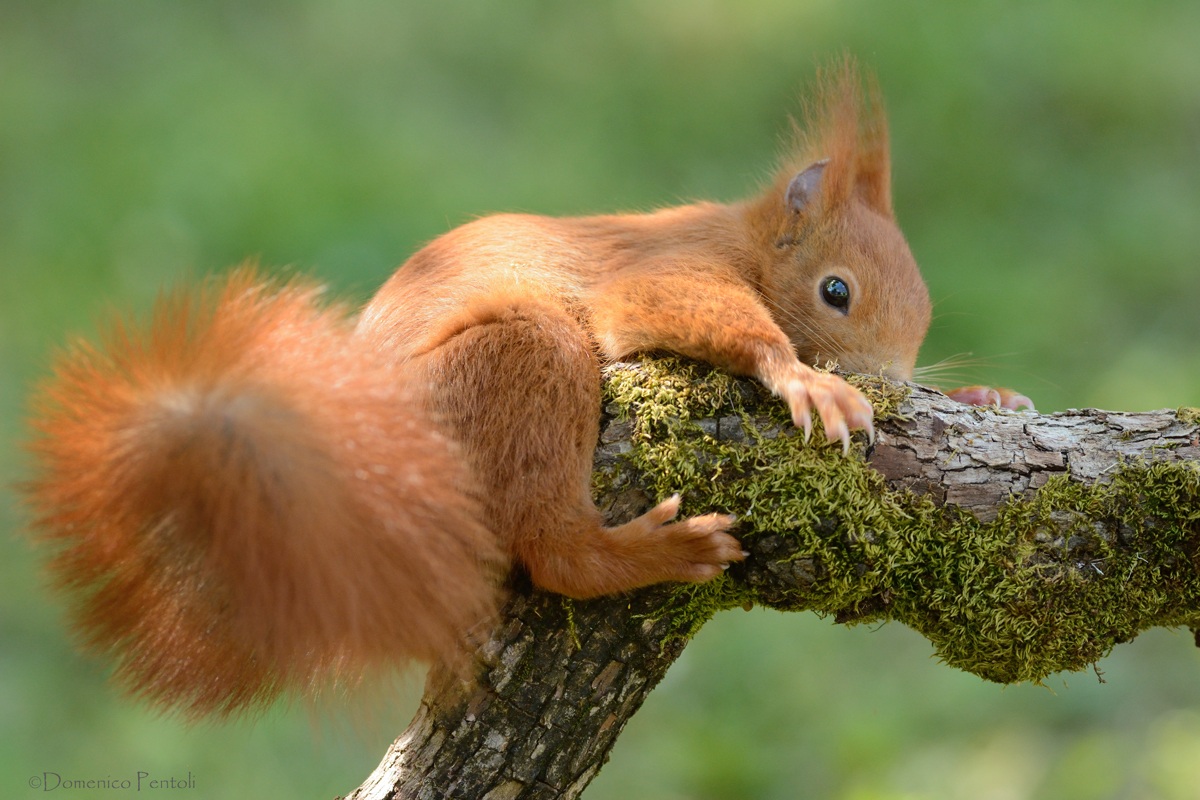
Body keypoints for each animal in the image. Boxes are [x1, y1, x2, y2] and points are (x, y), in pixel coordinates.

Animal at [23, 59, 933, 718]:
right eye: (836, 292)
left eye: (925, 314)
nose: (890, 378)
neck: (743, 240)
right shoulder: (667, 267)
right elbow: (683, 311)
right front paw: (805, 379)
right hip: (516, 365)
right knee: (554, 551)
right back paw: (653, 552)